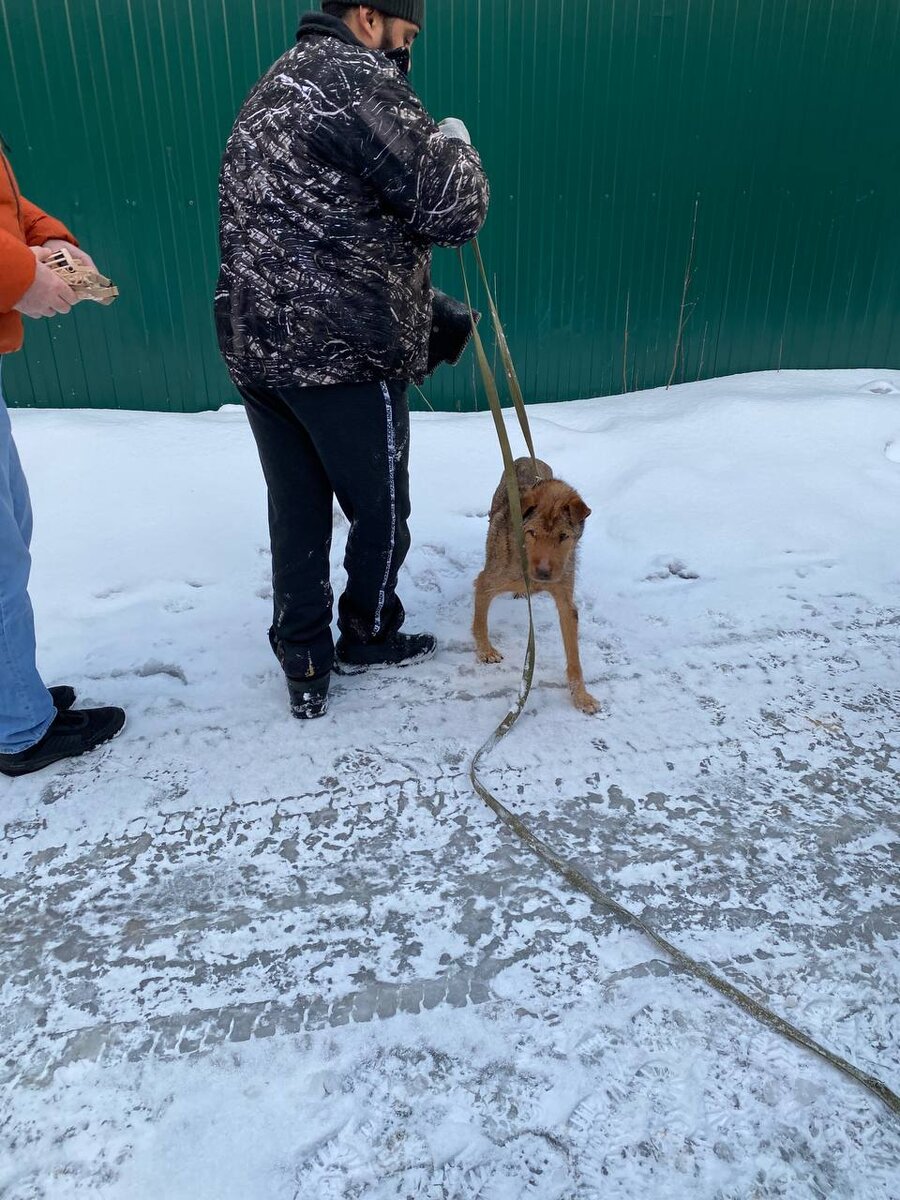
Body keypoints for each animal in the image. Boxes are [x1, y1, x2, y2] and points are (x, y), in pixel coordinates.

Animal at [472, 453, 600, 705]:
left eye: (563, 536)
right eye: (531, 532)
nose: (542, 573)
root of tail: (525, 457)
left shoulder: (565, 599)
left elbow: (574, 655)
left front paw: (580, 696)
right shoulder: (486, 581)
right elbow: (480, 620)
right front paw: (485, 651)